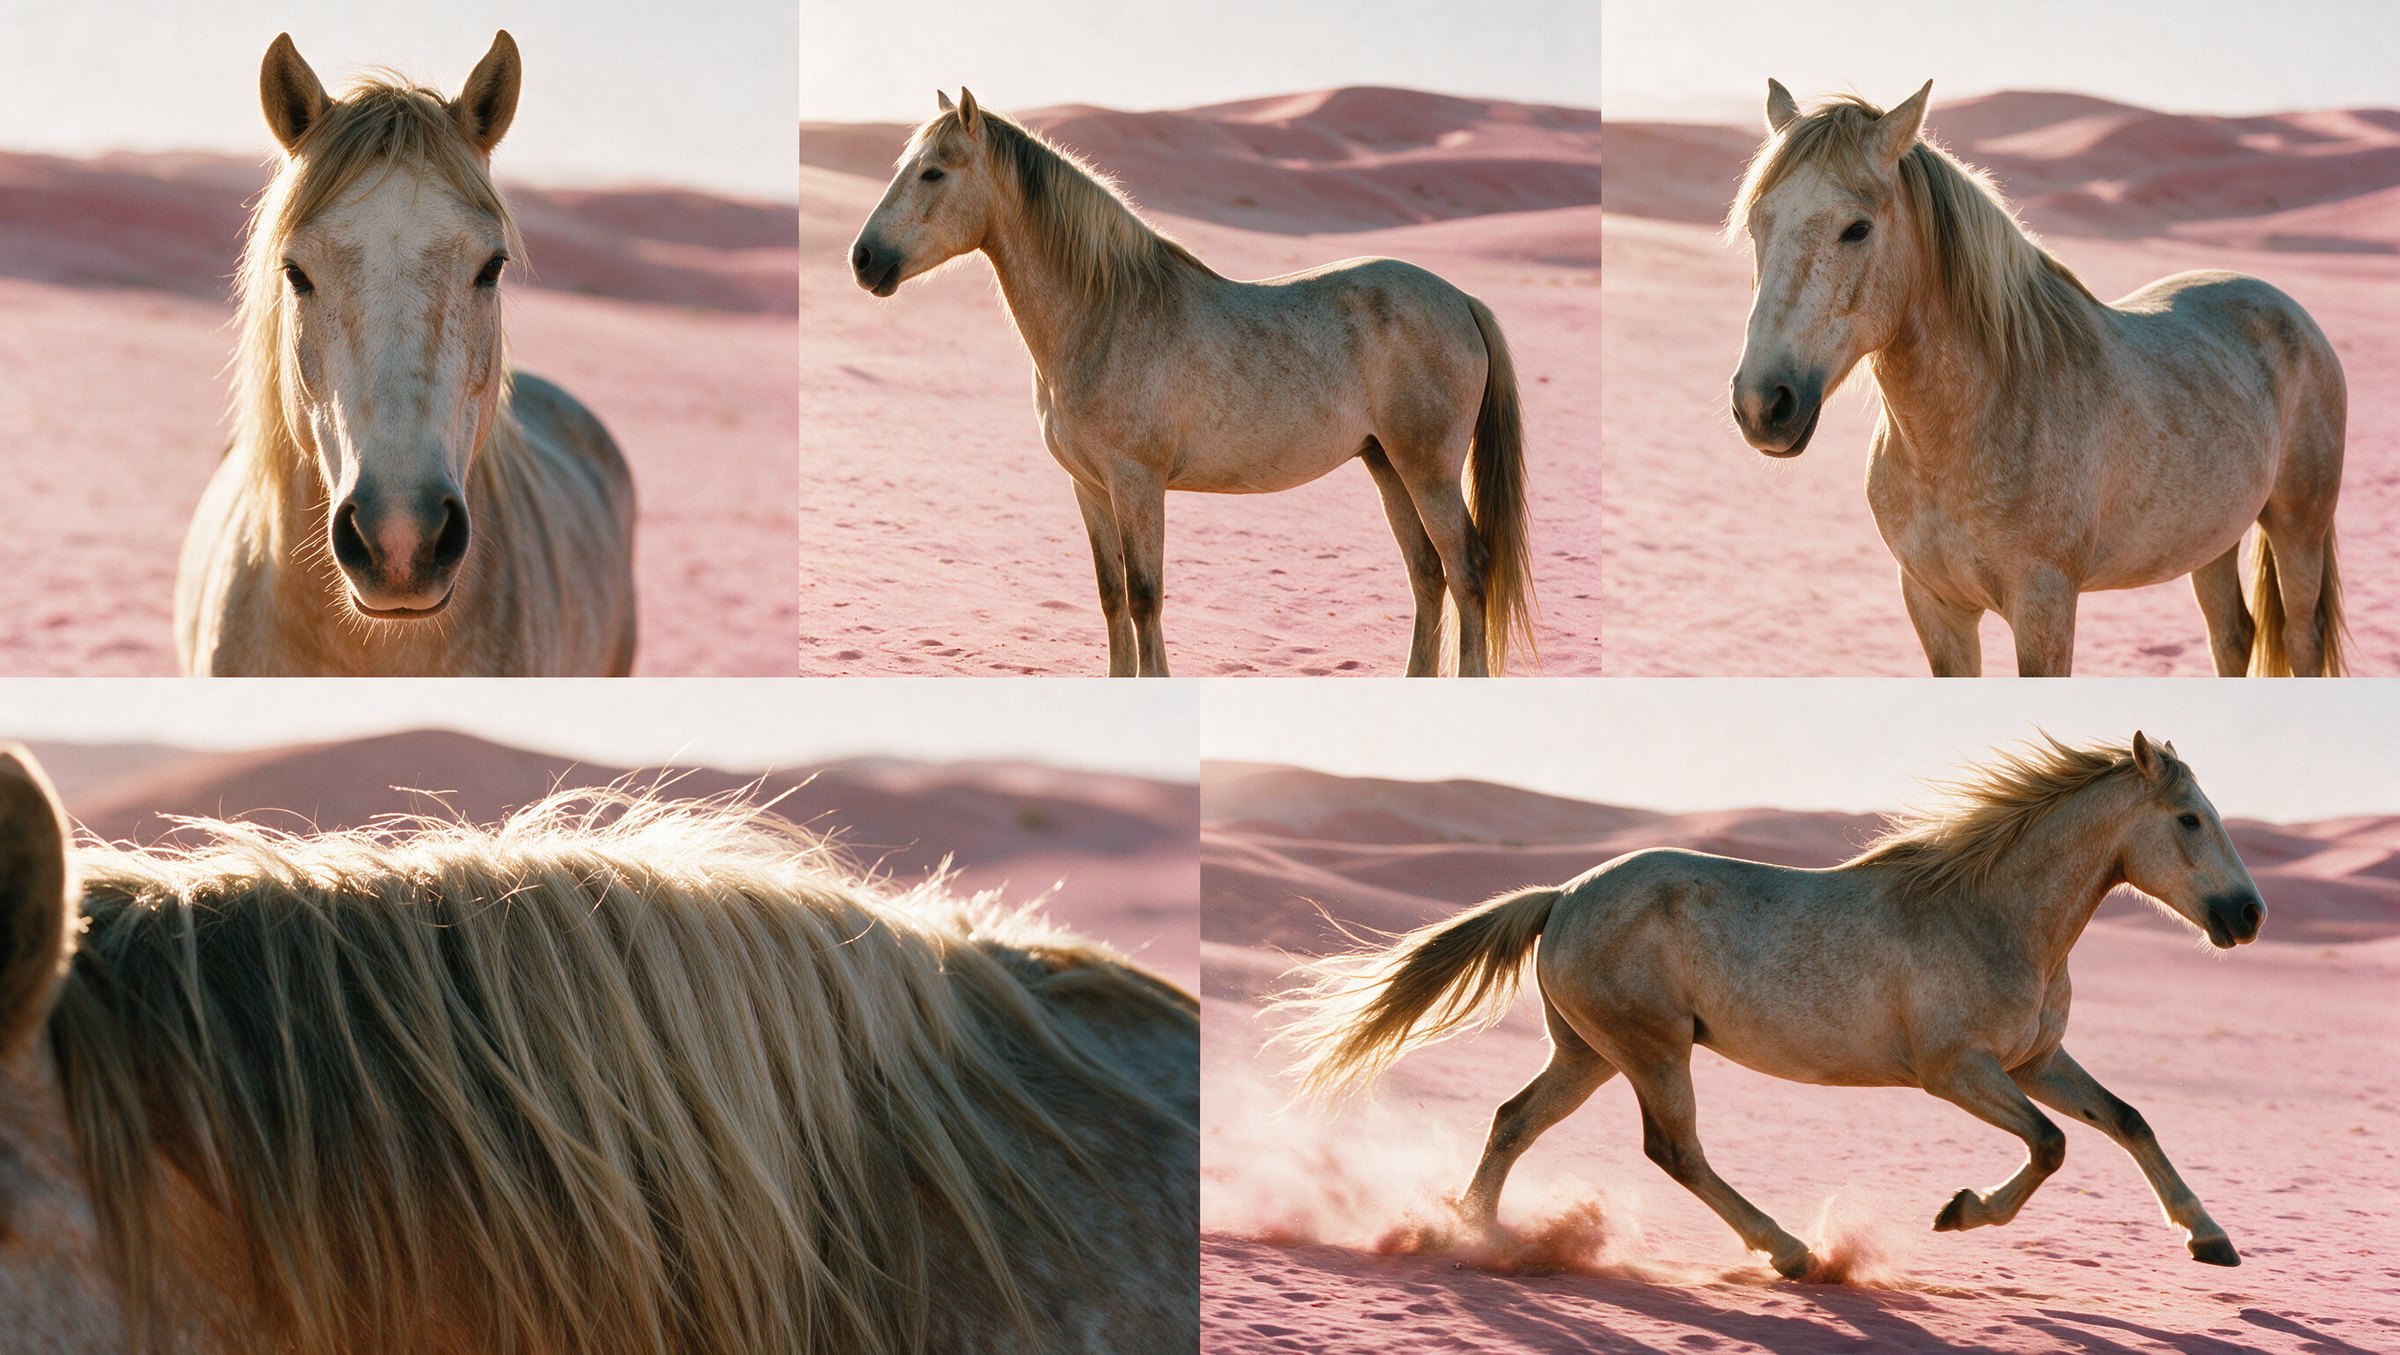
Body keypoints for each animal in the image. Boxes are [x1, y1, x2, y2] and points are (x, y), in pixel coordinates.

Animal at [848, 90, 1536, 677]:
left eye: (933, 173)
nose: (863, 260)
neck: (1105, 313)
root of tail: (1461, 299)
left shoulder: (1137, 481)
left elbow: (1145, 595)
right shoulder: (1089, 487)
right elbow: (1112, 597)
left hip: (1428, 470)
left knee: (1466, 572)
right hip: (1387, 464)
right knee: (1428, 575)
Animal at [1273, 733, 2262, 1280]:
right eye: (2188, 818)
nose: (2247, 915)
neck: (1993, 913)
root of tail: (1563, 895)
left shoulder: (2036, 1060)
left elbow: (2127, 1121)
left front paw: (2210, 1238)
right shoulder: (1958, 1071)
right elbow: (2052, 1145)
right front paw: (1959, 1210)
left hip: (1589, 1053)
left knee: (1515, 1119)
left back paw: (1471, 1233)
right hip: (1653, 1049)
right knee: (1672, 1148)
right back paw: (1792, 1253)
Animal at [1726, 81, 2347, 678]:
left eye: (1857, 229)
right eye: (1757, 225)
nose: (1762, 404)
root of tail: (2288, 309)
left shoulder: (2044, 605)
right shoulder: (1935, 607)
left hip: (2298, 528)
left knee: (2301, 638)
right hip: (2211, 538)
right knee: (2233, 637)